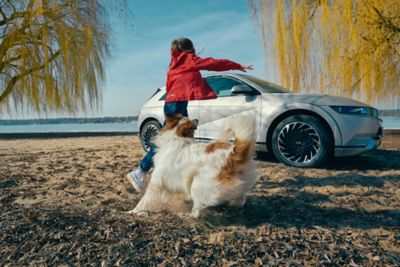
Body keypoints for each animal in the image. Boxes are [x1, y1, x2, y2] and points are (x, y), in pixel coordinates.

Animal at [129, 114, 260, 218]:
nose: (197, 119)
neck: (176, 136)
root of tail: (234, 153)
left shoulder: (156, 181)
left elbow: (145, 199)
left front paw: (134, 211)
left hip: (198, 183)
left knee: (198, 208)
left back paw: (190, 214)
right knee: (241, 197)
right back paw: (234, 203)